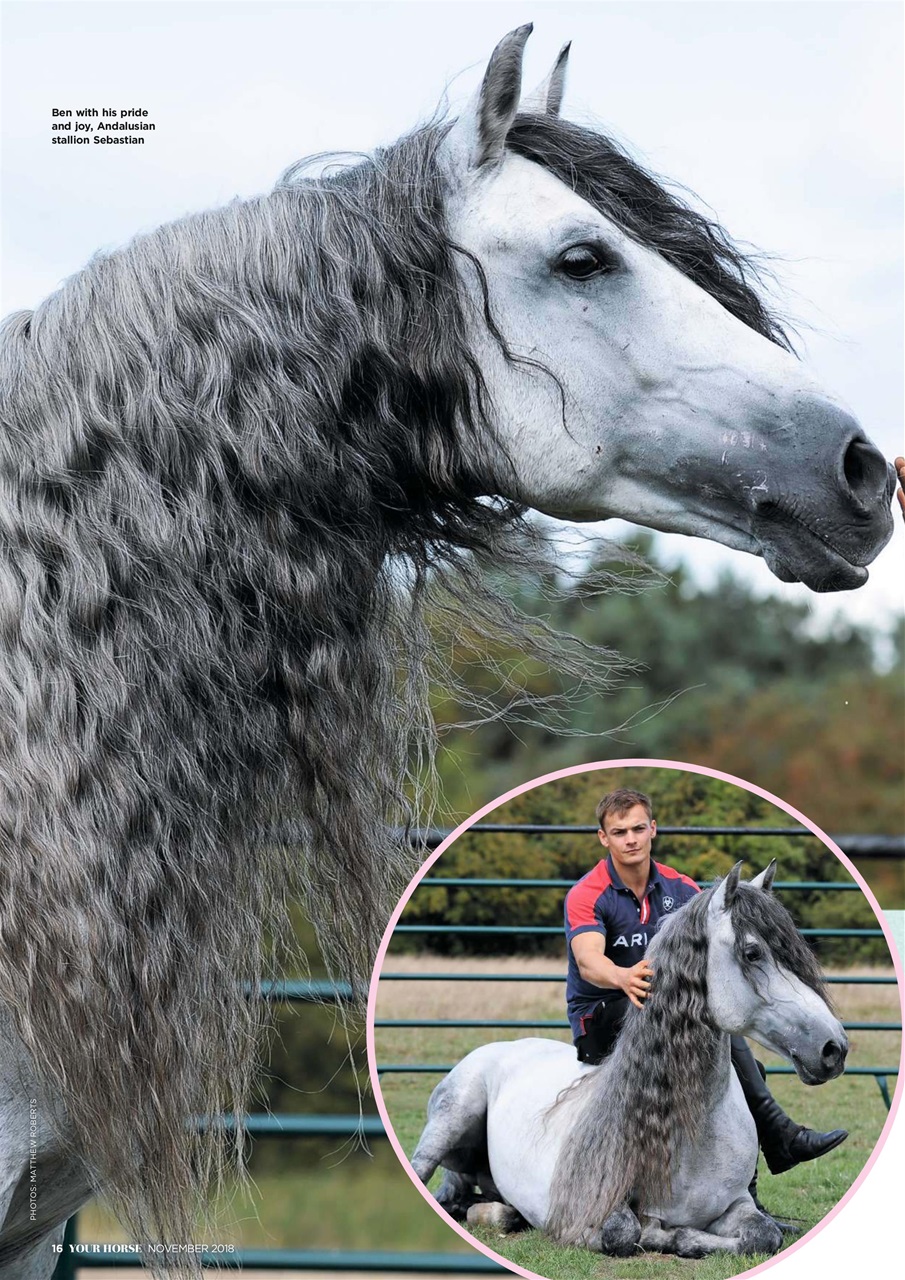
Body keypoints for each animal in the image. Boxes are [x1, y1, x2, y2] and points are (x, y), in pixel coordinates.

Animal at [410, 862, 849, 1259]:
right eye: (752, 952)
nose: (834, 1047)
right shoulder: (592, 1211)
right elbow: (624, 1232)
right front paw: (670, 1236)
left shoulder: (736, 1205)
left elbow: (763, 1235)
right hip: (452, 1117)